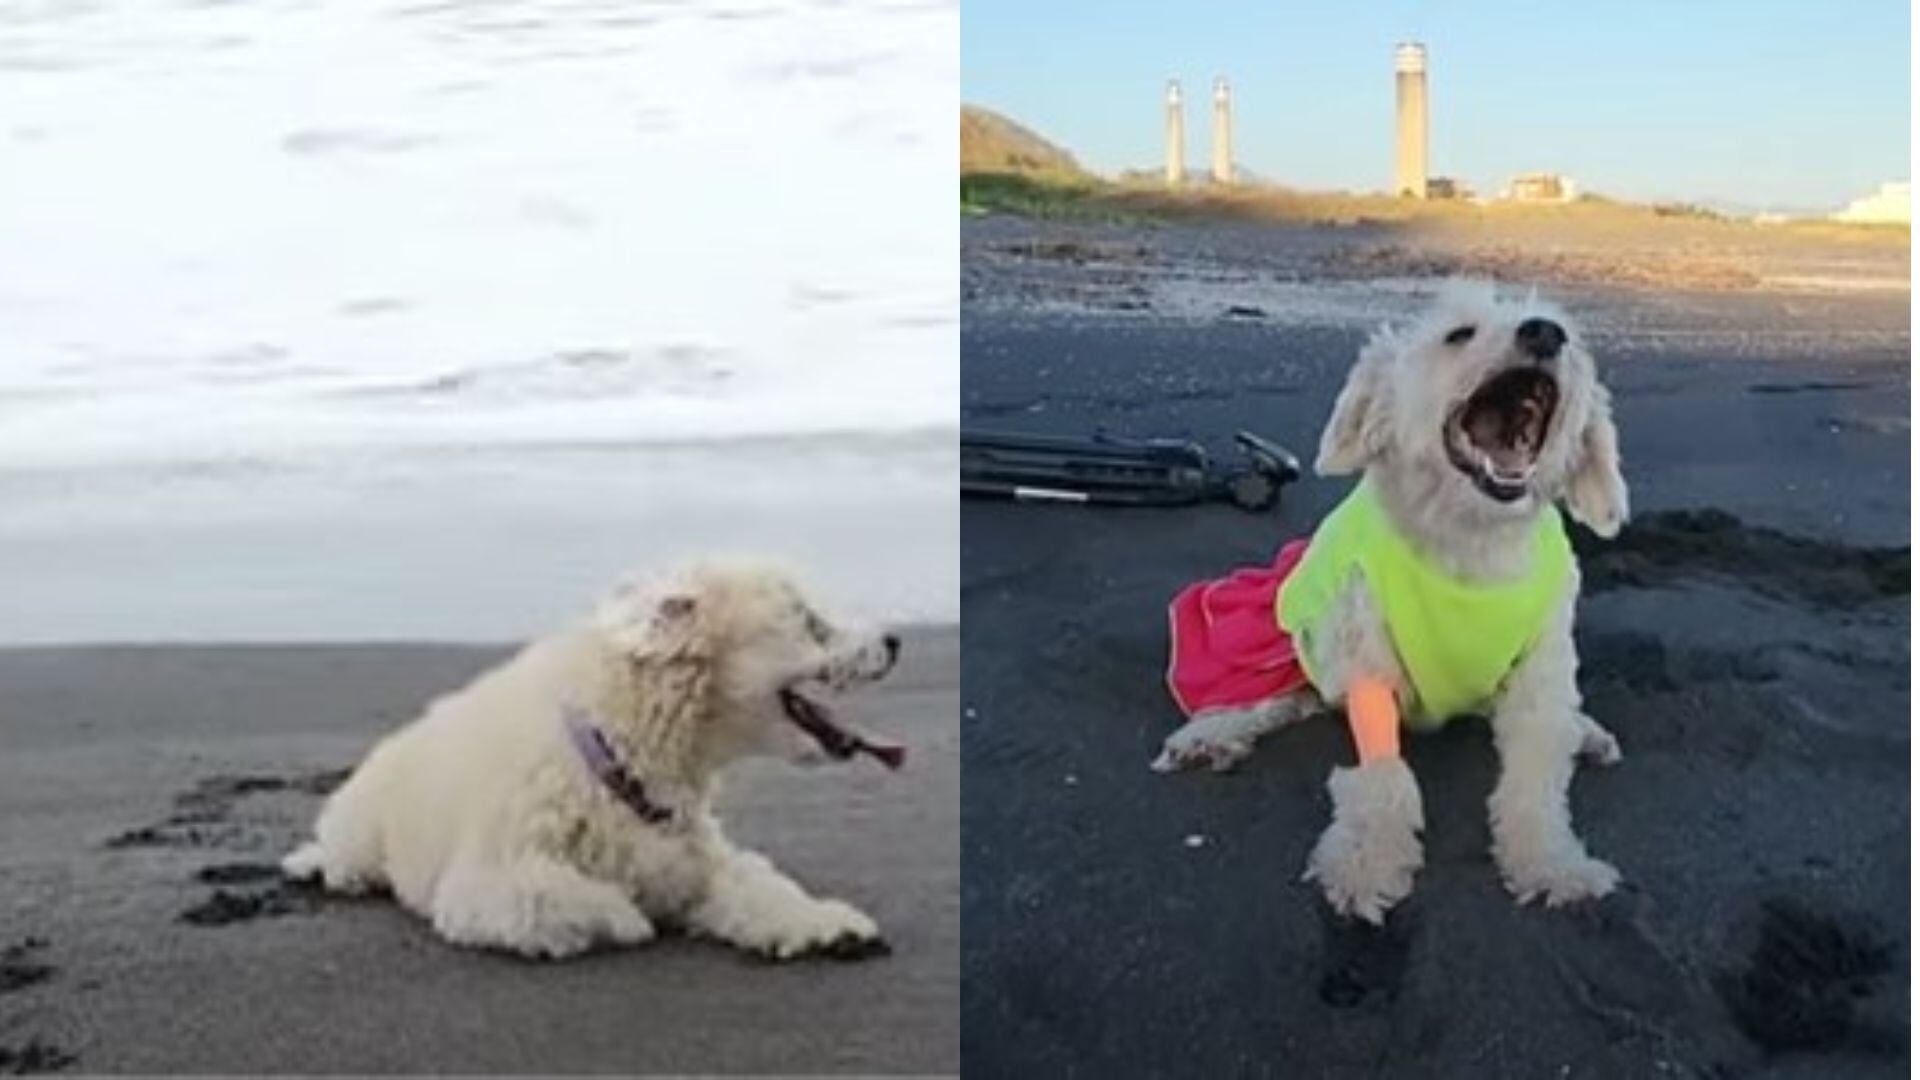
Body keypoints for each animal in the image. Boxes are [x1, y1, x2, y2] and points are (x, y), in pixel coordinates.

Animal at [284, 557, 906, 953]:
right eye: (810, 622)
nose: (897, 641)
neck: (625, 757)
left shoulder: (704, 861)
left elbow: (762, 889)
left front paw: (826, 924)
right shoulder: (490, 887)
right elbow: (586, 902)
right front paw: (633, 916)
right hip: (361, 830)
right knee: (343, 856)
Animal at [1152, 282, 1635, 922]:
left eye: (1569, 337)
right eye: (1458, 334)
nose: (1544, 334)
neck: (1471, 541)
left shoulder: (1540, 674)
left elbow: (1535, 778)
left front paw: (1552, 864)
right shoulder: (1367, 667)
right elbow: (1384, 778)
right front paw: (1367, 866)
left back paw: (1584, 731)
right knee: (1283, 695)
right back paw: (1208, 736)